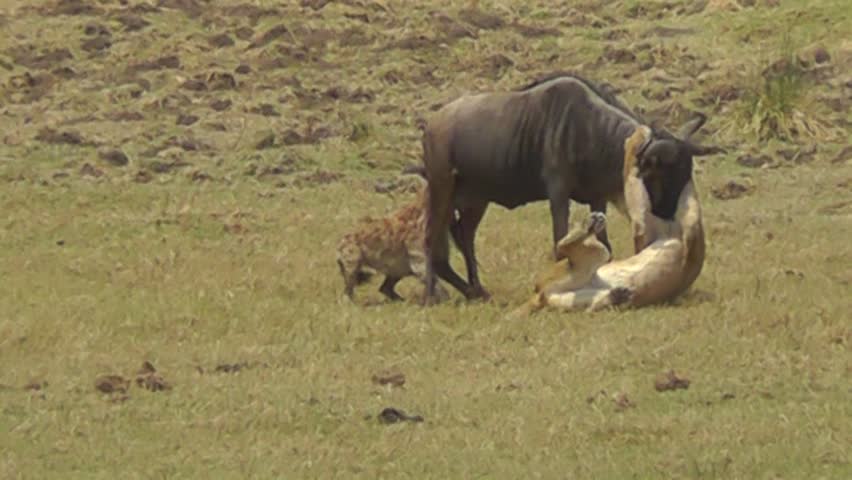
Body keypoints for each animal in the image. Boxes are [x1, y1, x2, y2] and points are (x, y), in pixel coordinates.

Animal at [511, 125, 708, 315]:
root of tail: (538, 295)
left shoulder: (646, 221)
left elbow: (631, 173)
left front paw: (638, 136)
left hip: (597, 257)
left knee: (566, 250)